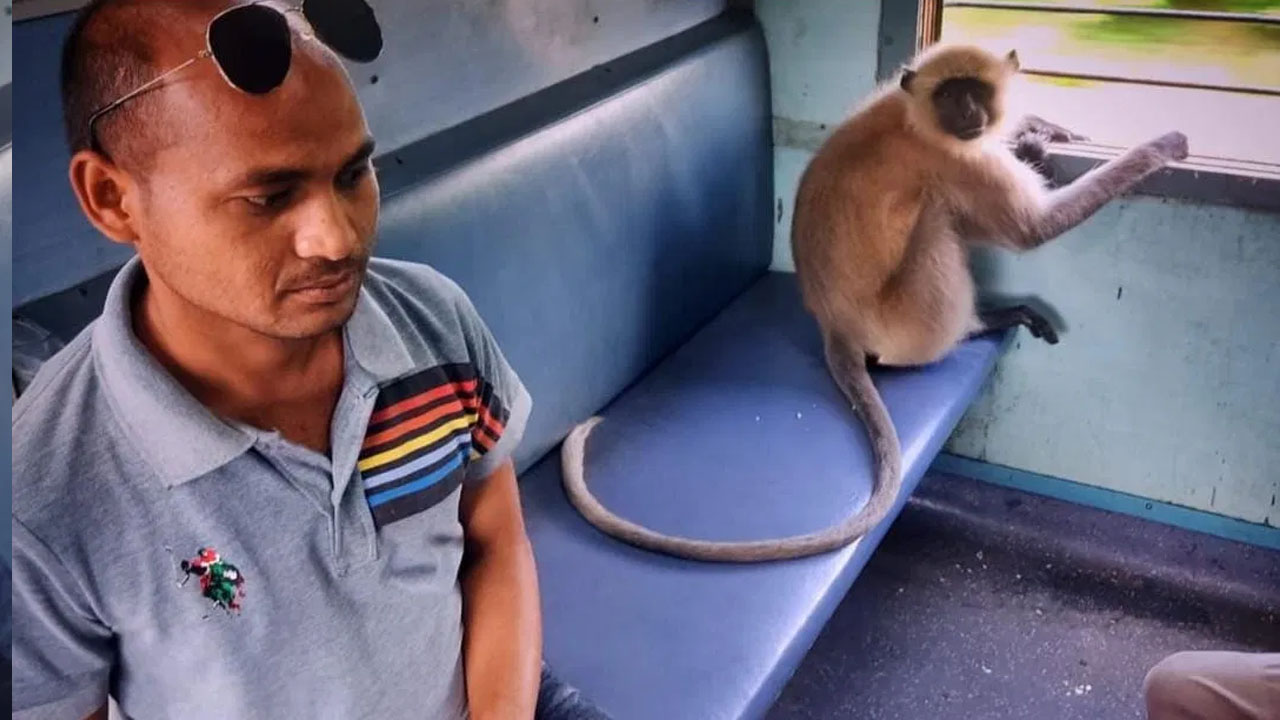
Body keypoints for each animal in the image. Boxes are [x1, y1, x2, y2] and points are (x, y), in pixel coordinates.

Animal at [560, 44, 1188, 563]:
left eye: (975, 90)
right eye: (949, 94)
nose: (970, 113)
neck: (913, 119)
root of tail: (833, 324)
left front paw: (1039, 130)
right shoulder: (956, 159)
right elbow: (1033, 230)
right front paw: (1160, 147)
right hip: (907, 321)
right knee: (940, 219)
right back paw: (978, 324)